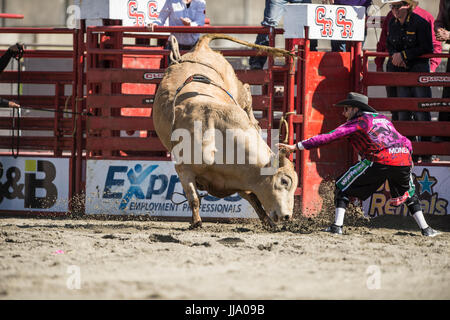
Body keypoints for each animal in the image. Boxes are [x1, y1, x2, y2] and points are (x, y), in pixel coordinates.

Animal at [153, 33, 298, 229]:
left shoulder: (238, 179)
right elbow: (194, 198)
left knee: (246, 92)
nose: (287, 216)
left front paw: (267, 221)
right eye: (284, 181)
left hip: (235, 87)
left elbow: (253, 197)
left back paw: (254, 121)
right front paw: (196, 222)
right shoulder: (184, 168)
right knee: (246, 89)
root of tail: (201, 48)